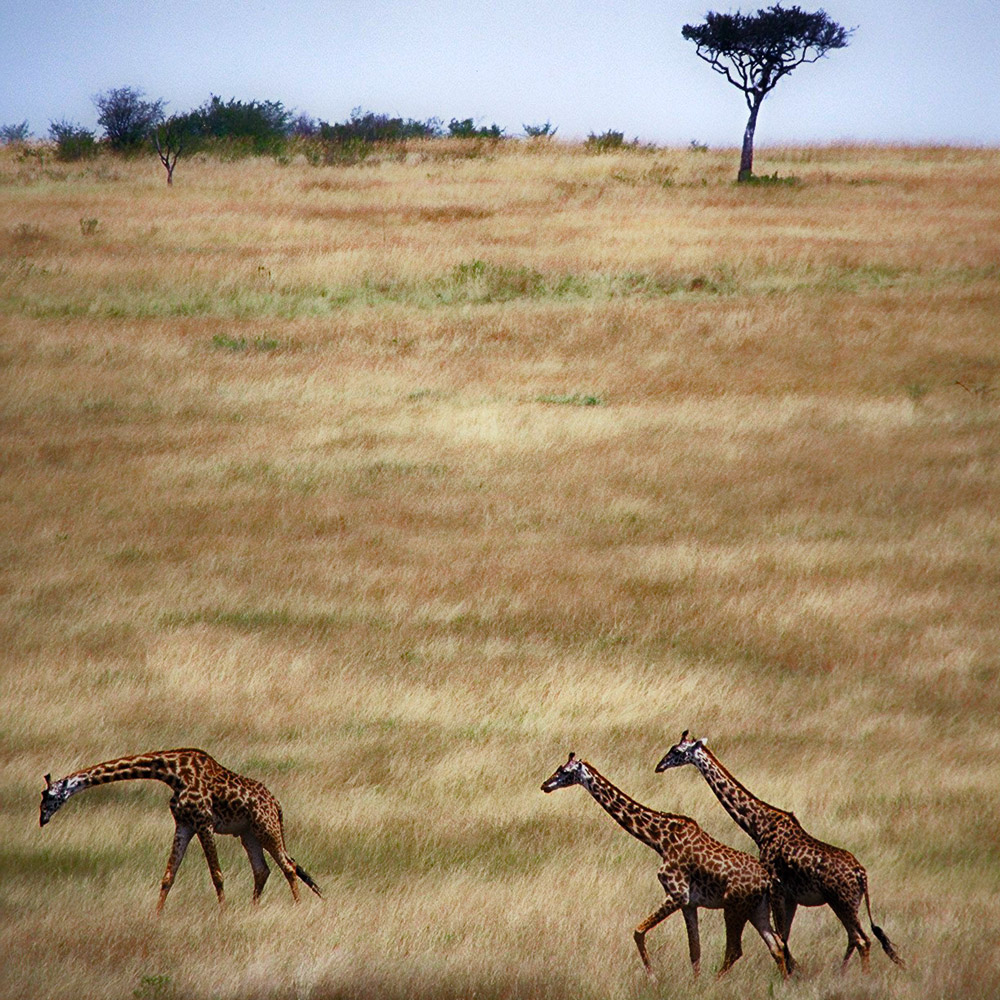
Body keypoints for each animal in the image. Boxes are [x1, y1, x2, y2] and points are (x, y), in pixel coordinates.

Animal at [38, 748, 320, 912]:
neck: (171, 773)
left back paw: (297, 907)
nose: (41, 819)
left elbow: (216, 874)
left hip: (265, 828)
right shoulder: (184, 823)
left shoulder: (204, 822)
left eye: (48, 796)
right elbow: (168, 876)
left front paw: (223, 913)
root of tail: (276, 804)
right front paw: (157, 915)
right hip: (247, 833)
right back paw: (254, 909)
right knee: (262, 870)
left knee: (288, 866)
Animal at [540, 752, 788, 980]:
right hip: (757, 908)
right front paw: (694, 984)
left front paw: (653, 977)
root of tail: (767, 880)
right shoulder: (689, 903)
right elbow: (694, 950)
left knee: (735, 951)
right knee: (776, 946)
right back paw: (784, 983)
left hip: (734, 906)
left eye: (564, 771)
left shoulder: (677, 894)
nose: (545, 785)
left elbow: (638, 932)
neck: (659, 839)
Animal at [656, 732, 908, 972]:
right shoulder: (790, 895)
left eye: (677, 750)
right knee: (855, 938)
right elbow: (784, 935)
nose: (659, 766)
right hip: (848, 903)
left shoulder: (776, 886)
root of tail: (861, 874)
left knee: (862, 940)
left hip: (841, 901)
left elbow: (781, 937)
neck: (759, 825)